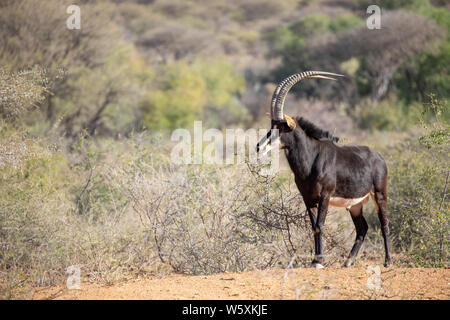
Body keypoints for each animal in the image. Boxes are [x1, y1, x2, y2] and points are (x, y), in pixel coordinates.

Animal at [256, 70, 390, 268]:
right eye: (271, 126)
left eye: (281, 128)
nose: (259, 147)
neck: (311, 159)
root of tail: (379, 158)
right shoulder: (308, 198)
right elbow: (313, 226)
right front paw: (315, 259)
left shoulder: (325, 195)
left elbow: (320, 225)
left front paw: (319, 261)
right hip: (354, 205)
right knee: (362, 228)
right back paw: (348, 262)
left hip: (379, 194)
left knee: (384, 224)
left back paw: (388, 261)